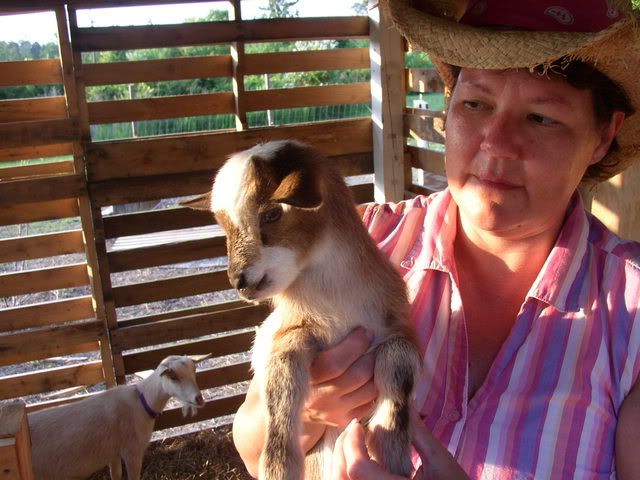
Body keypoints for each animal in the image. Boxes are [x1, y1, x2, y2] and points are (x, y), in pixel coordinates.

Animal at [28, 355, 207, 480]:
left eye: (194, 372)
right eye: (173, 377)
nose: (199, 399)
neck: (142, 402)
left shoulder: (112, 453)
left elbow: (116, 475)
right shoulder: (132, 451)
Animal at [185, 140, 421, 480]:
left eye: (272, 213)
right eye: (223, 226)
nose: (238, 280)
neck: (336, 303)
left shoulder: (398, 328)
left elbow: (399, 364)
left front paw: (392, 455)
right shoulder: (289, 333)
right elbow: (280, 380)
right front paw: (278, 466)